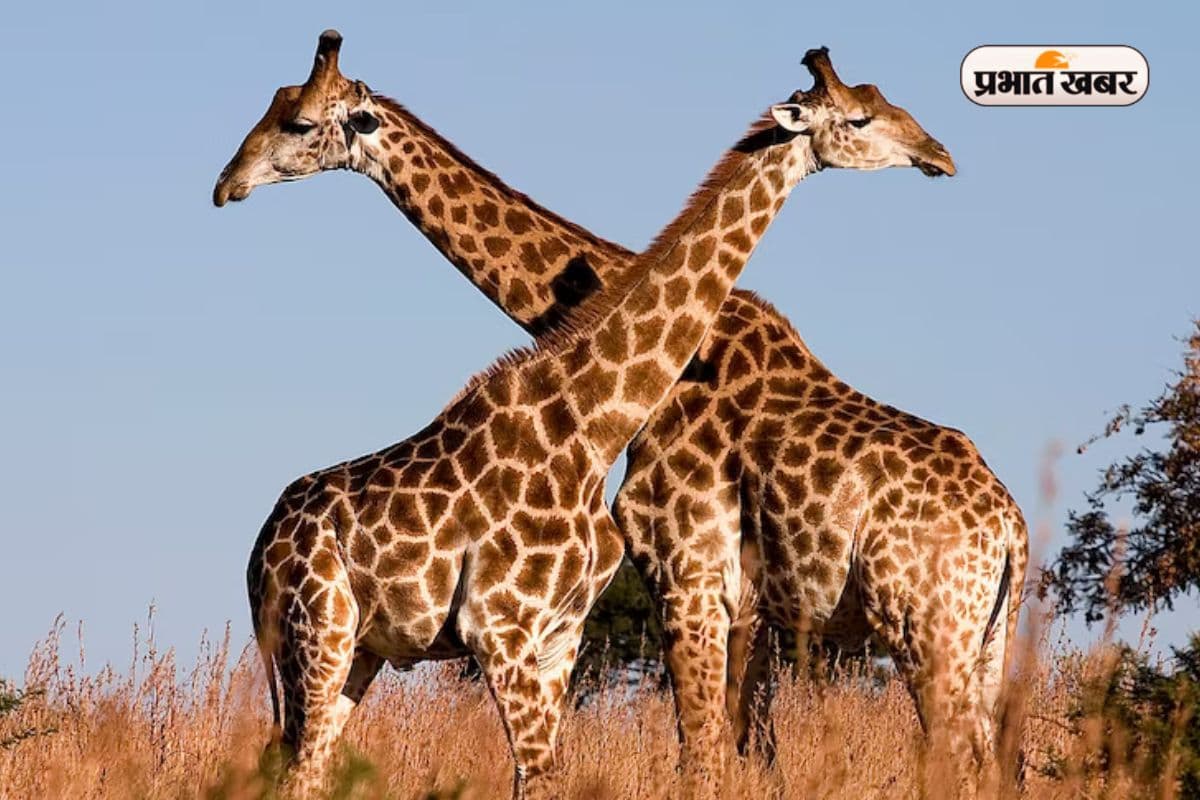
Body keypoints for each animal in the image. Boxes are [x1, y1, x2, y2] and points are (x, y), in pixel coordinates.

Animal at [213, 32, 1011, 794]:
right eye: (863, 113)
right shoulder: (659, 601)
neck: (588, 410)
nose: (226, 184)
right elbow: (714, 758)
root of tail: (1011, 528)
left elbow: (699, 758)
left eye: (298, 121)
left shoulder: (652, 596)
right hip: (325, 636)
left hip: (938, 629)